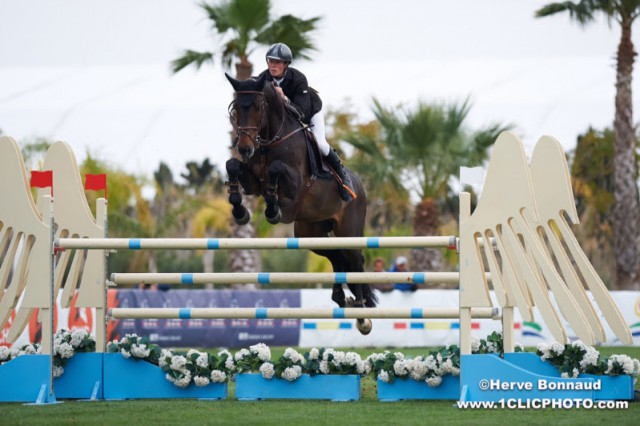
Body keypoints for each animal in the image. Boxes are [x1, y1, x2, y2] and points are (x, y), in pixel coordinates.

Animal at [225, 71, 378, 334]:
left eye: (258, 107)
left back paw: (361, 314)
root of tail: (360, 186)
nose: (244, 148)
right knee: (337, 257)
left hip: (349, 230)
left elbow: (276, 170)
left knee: (354, 261)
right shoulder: (252, 182)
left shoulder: (294, 183)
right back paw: (340, 298)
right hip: (311, 232)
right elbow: (232, 166)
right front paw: (239, 210)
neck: (269, 140)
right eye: (235, 109)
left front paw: (273, 210)